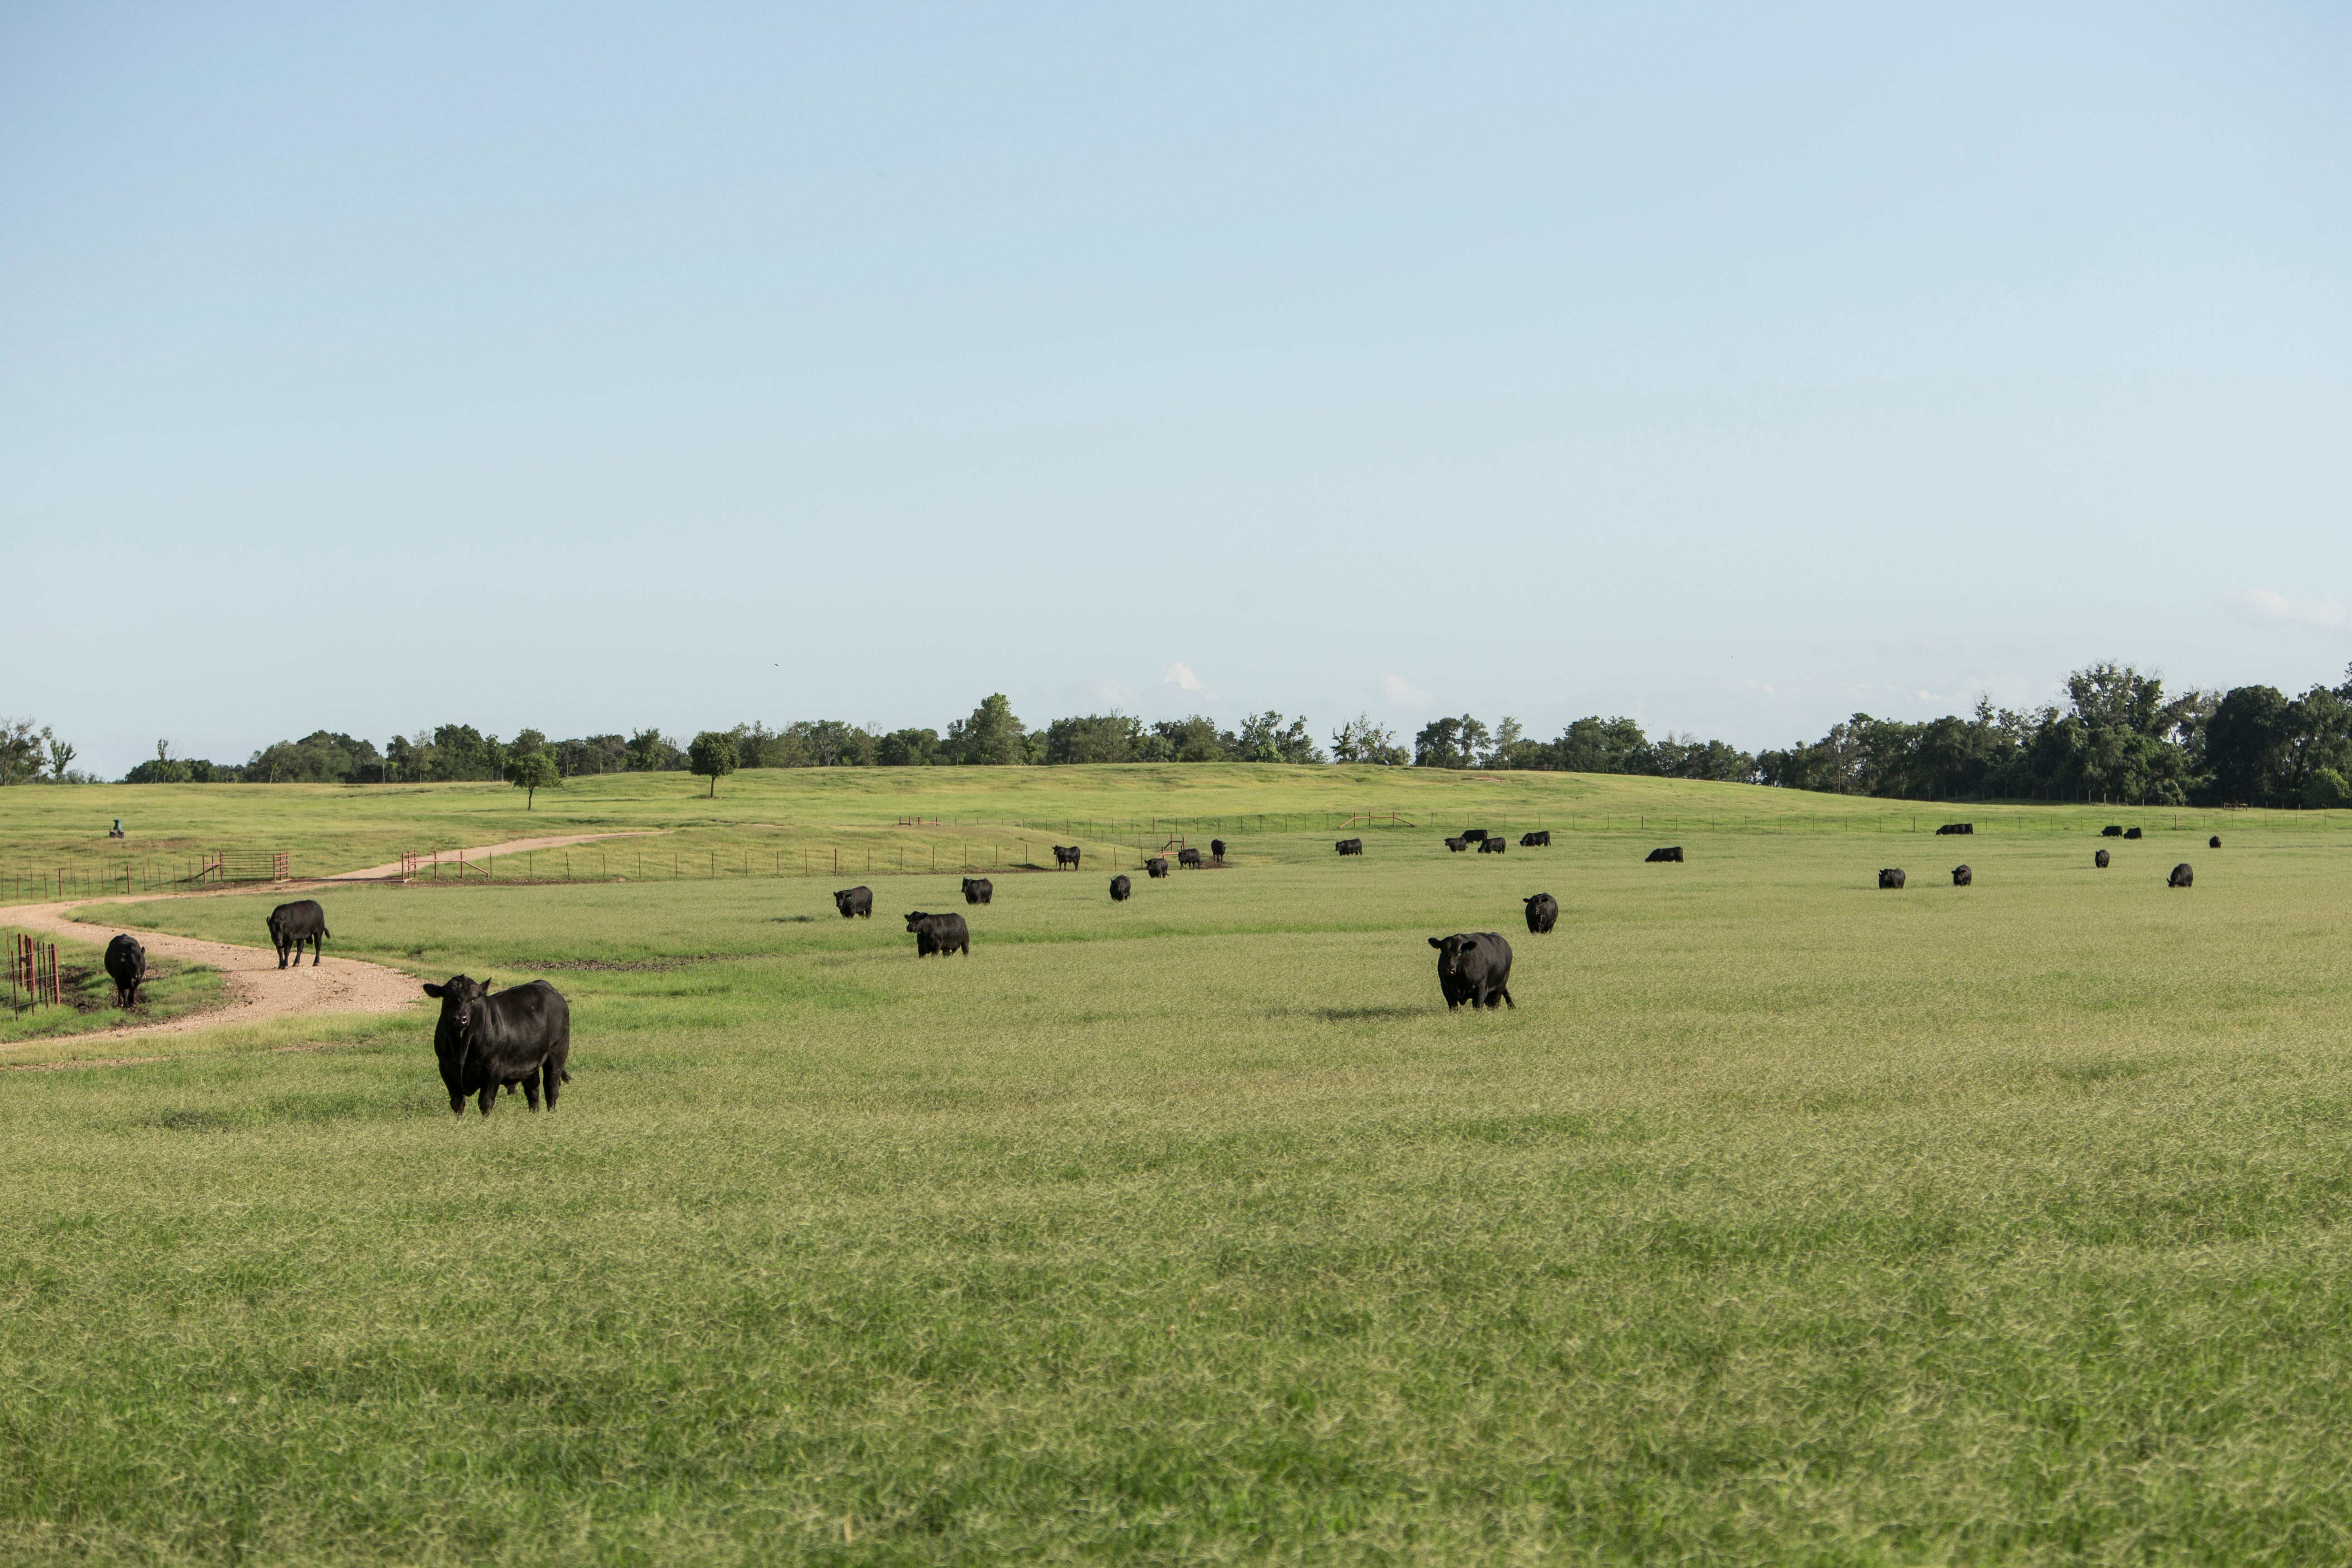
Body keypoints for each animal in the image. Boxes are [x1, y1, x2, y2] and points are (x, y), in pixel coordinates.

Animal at [103, 934, 146, 1008]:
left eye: (141, 963)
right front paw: (126, 1005)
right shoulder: (119, 979)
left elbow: (134, 989)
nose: (137, 975)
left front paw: (132, 1001)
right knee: (119, 990)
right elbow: (124, 992)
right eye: (131, 963)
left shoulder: (140, 978)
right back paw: (120, 1002)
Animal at [267, 900, 330, 968]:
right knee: (300, 948)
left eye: (282, 929)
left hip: (319, 932)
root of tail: (318, 905)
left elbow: (287, 951)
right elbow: (280, 951)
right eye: (271, 930)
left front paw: (285, 965)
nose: (279, 941)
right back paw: (296, 963)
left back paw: (316, 962)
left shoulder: (291, 938)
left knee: (318, 946)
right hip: (301, 937)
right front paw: (281, 965)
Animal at [421, 975, 571, 1118]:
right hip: (530, 1059)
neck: (462, 1049)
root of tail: (544, 984)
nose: (460, 1019)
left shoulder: (493, 1068)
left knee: (551, 1085)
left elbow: (486, 1102)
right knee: (533, 1090)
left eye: (474, 998)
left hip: (558, 1051)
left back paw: (550, 1115)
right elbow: (457, 1103)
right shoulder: (446, 1068)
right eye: (448, 997)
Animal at [904, 910, 971, 957]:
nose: (909, 928)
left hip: (965, 942)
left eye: (917, 920)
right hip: (947, 948)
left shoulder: (937, 945)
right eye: (909, 921)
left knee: (966, 953)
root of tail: (961, 918)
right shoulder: (921, 947)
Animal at [1428, 932, 1514, 1010]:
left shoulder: (1481, 989)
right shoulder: (1446, 989)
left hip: (1501, 985)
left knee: (1495, 1004)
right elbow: (1453, 1008)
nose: (1450, 970)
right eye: (1443, 952)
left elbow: (1478, 1008)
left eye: (1459, 953)